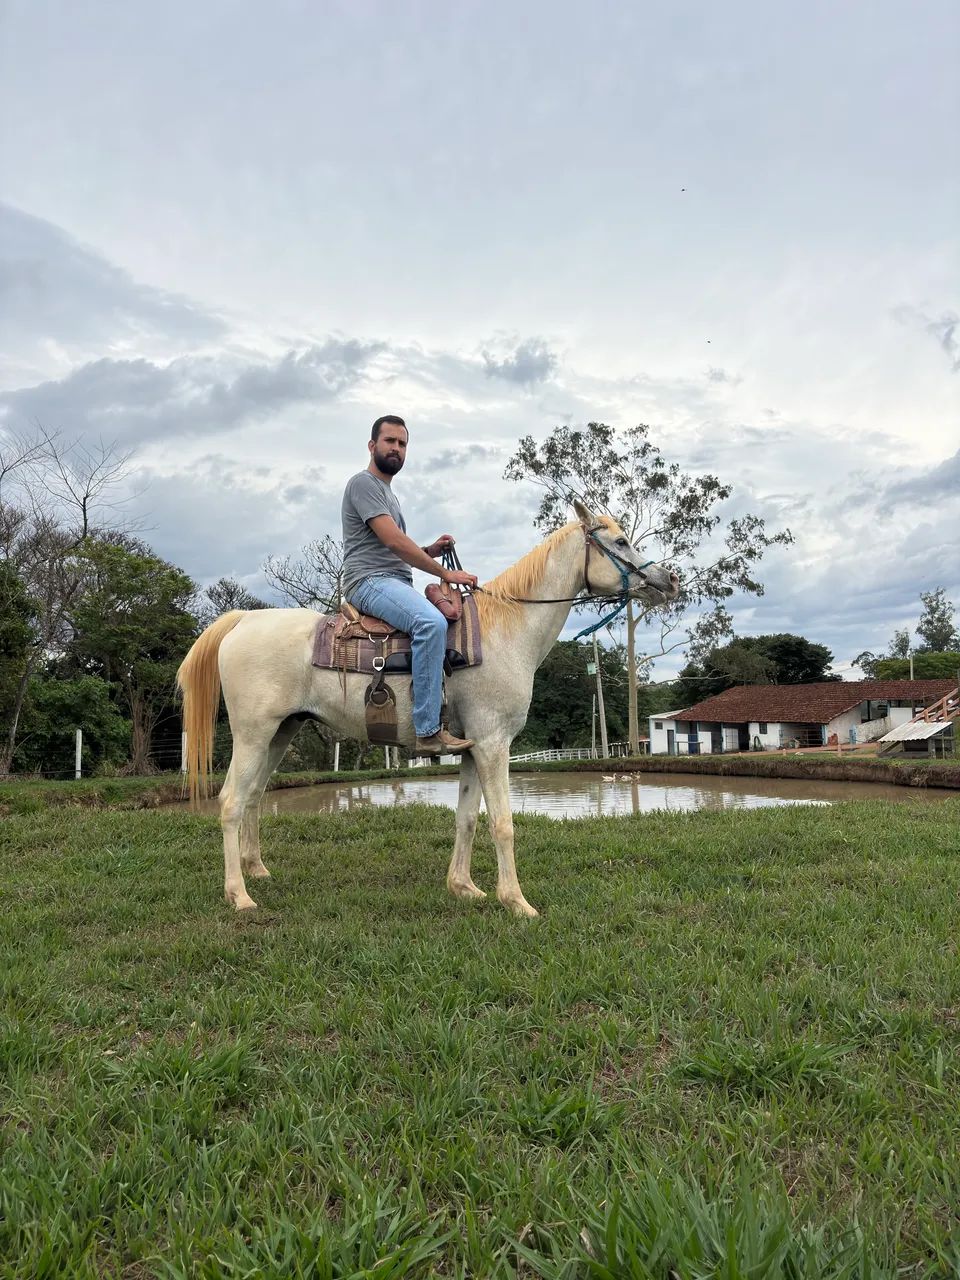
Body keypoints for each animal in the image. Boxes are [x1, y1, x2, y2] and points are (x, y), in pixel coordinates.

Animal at [176, 499, 679, 917]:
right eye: (620, 541)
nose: (668, 580)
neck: (506, 631)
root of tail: (244, 620)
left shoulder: (473, 747)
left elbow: (467, 818)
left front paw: (464, 888)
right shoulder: (494, 744)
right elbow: (502, 823)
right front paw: (516, 902)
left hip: (282, 732)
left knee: (255, 796)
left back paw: (256, 870)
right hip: (253, 734)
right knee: (231, 801)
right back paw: (239, 895)